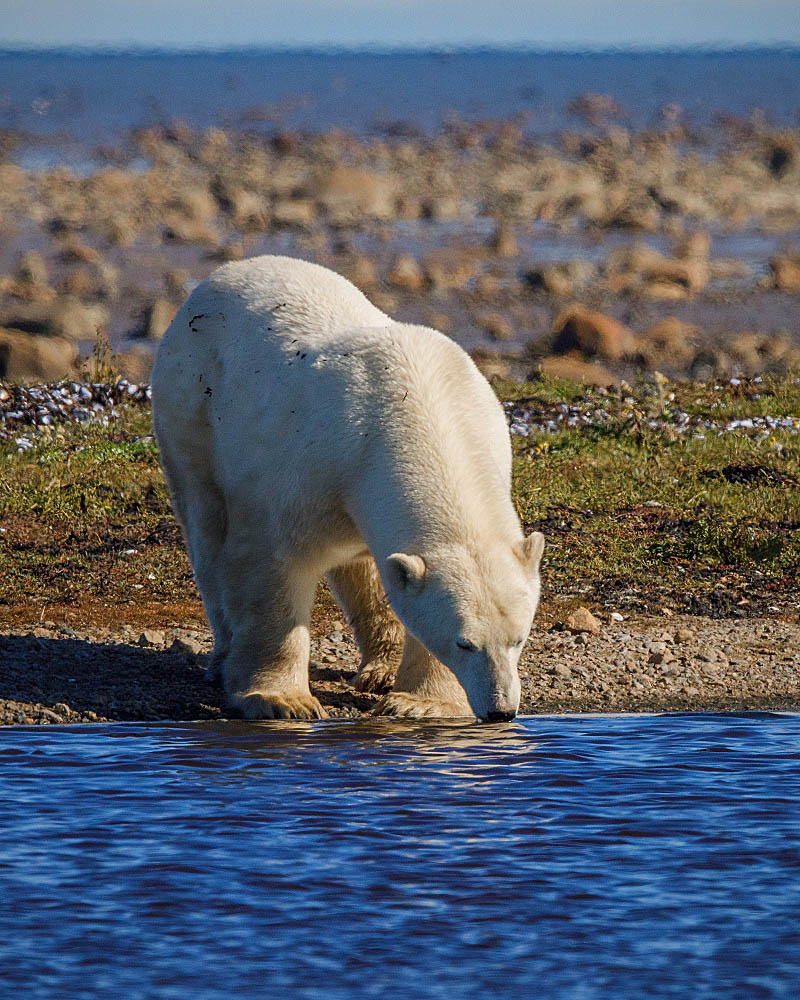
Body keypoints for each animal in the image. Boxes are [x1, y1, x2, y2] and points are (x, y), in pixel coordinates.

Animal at [152, 256, 544, 720]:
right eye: (464, 643)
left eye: (518, 638)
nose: (502, 710)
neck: (416, 409)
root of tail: (219, 276)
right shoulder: (311, 466)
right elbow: (272, 564)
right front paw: (282, 700)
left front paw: (419, 703)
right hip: (190, 408)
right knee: (207, 529)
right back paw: (223, 655)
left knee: (364, 568)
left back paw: (380, 669)